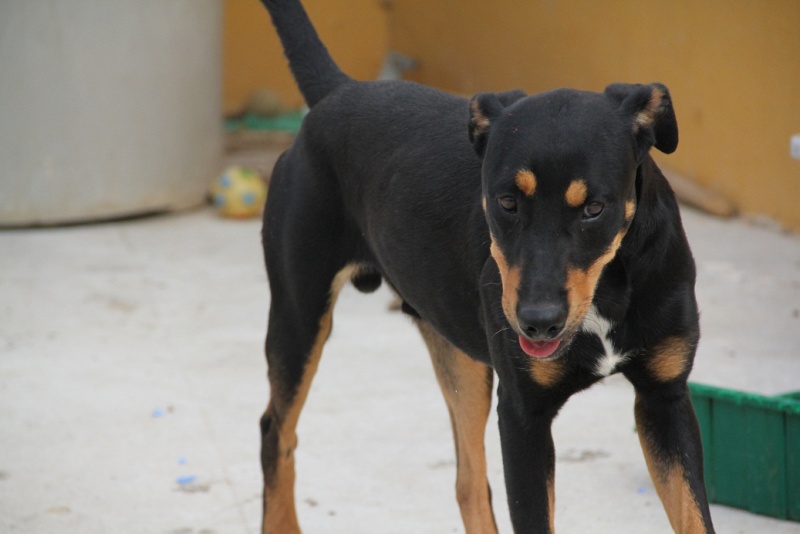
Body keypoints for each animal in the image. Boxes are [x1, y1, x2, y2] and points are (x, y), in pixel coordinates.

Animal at [256, 2, 712, 532]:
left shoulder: (665, 399)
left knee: (468, 480)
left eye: (594, 208)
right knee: (275, 433)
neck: (608, 289)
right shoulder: (522, 417)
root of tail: (339, 91)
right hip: (299, 315)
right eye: (507, 202)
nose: (537, 323)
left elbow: (695, 516)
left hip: (460, 355)